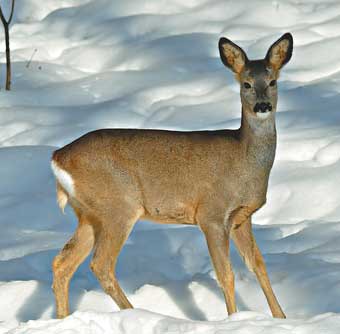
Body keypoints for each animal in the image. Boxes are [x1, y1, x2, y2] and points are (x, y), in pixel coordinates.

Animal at [50, 32, 292, 320]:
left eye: (273, 81)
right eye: (246, 84)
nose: (263, 106)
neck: (245, 162)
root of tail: (58, 157)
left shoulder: (240, 218)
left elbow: (259, 265)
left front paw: (282, 318)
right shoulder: (211, 213)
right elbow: (226, 275)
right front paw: (233, 319)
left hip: (89, 213)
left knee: (62, 262)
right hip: (119, 206)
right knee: (101, 264)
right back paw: (136, 313)